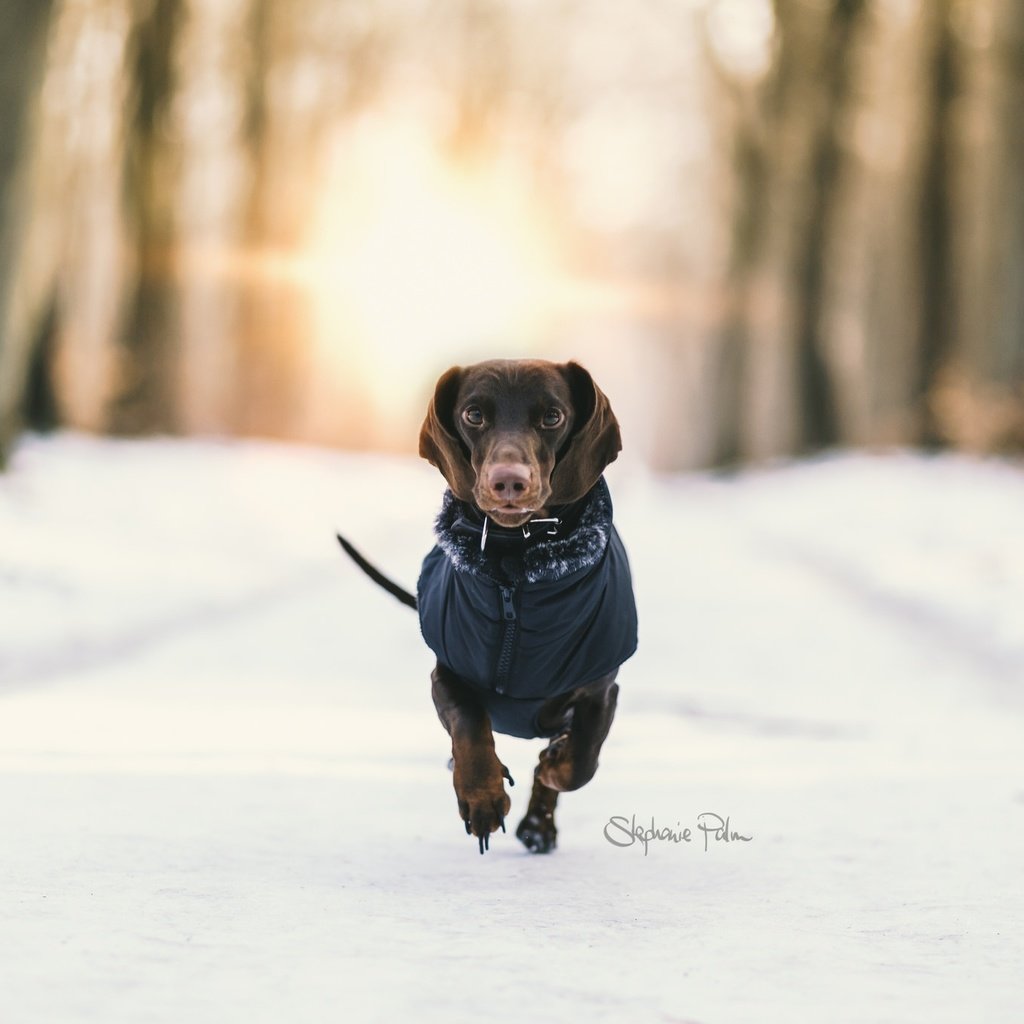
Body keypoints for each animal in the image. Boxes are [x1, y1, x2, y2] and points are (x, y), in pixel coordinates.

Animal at [339, 362, 634, 856]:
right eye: (473, 415)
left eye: (553, 416)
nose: (508, 481)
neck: (517, 565)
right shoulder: (446, 676)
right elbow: (470, 726)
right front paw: (482, 797)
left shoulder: (600, 691)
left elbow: (579, 762)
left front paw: (553, 765)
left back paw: (538, 825)